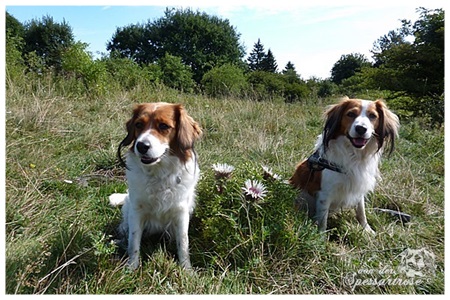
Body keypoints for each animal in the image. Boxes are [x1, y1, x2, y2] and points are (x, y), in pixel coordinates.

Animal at [108, 102, 201, 268]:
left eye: (164, 126)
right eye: (138, 124)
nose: (141, 146)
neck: (159, 174)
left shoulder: (181, 212)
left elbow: (183, 243)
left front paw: (187, 269)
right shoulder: (136, 211)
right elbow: (133, 242)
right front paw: (131, 267)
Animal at [290, 97, 400, 233]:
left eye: (373, 116)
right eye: (351, 114)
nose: (361, 128)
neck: (354, 154)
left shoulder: (359, 188)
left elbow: (361, 212)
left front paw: (367, 230)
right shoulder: (325, 194)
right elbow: (322, 220)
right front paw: (321, 236)